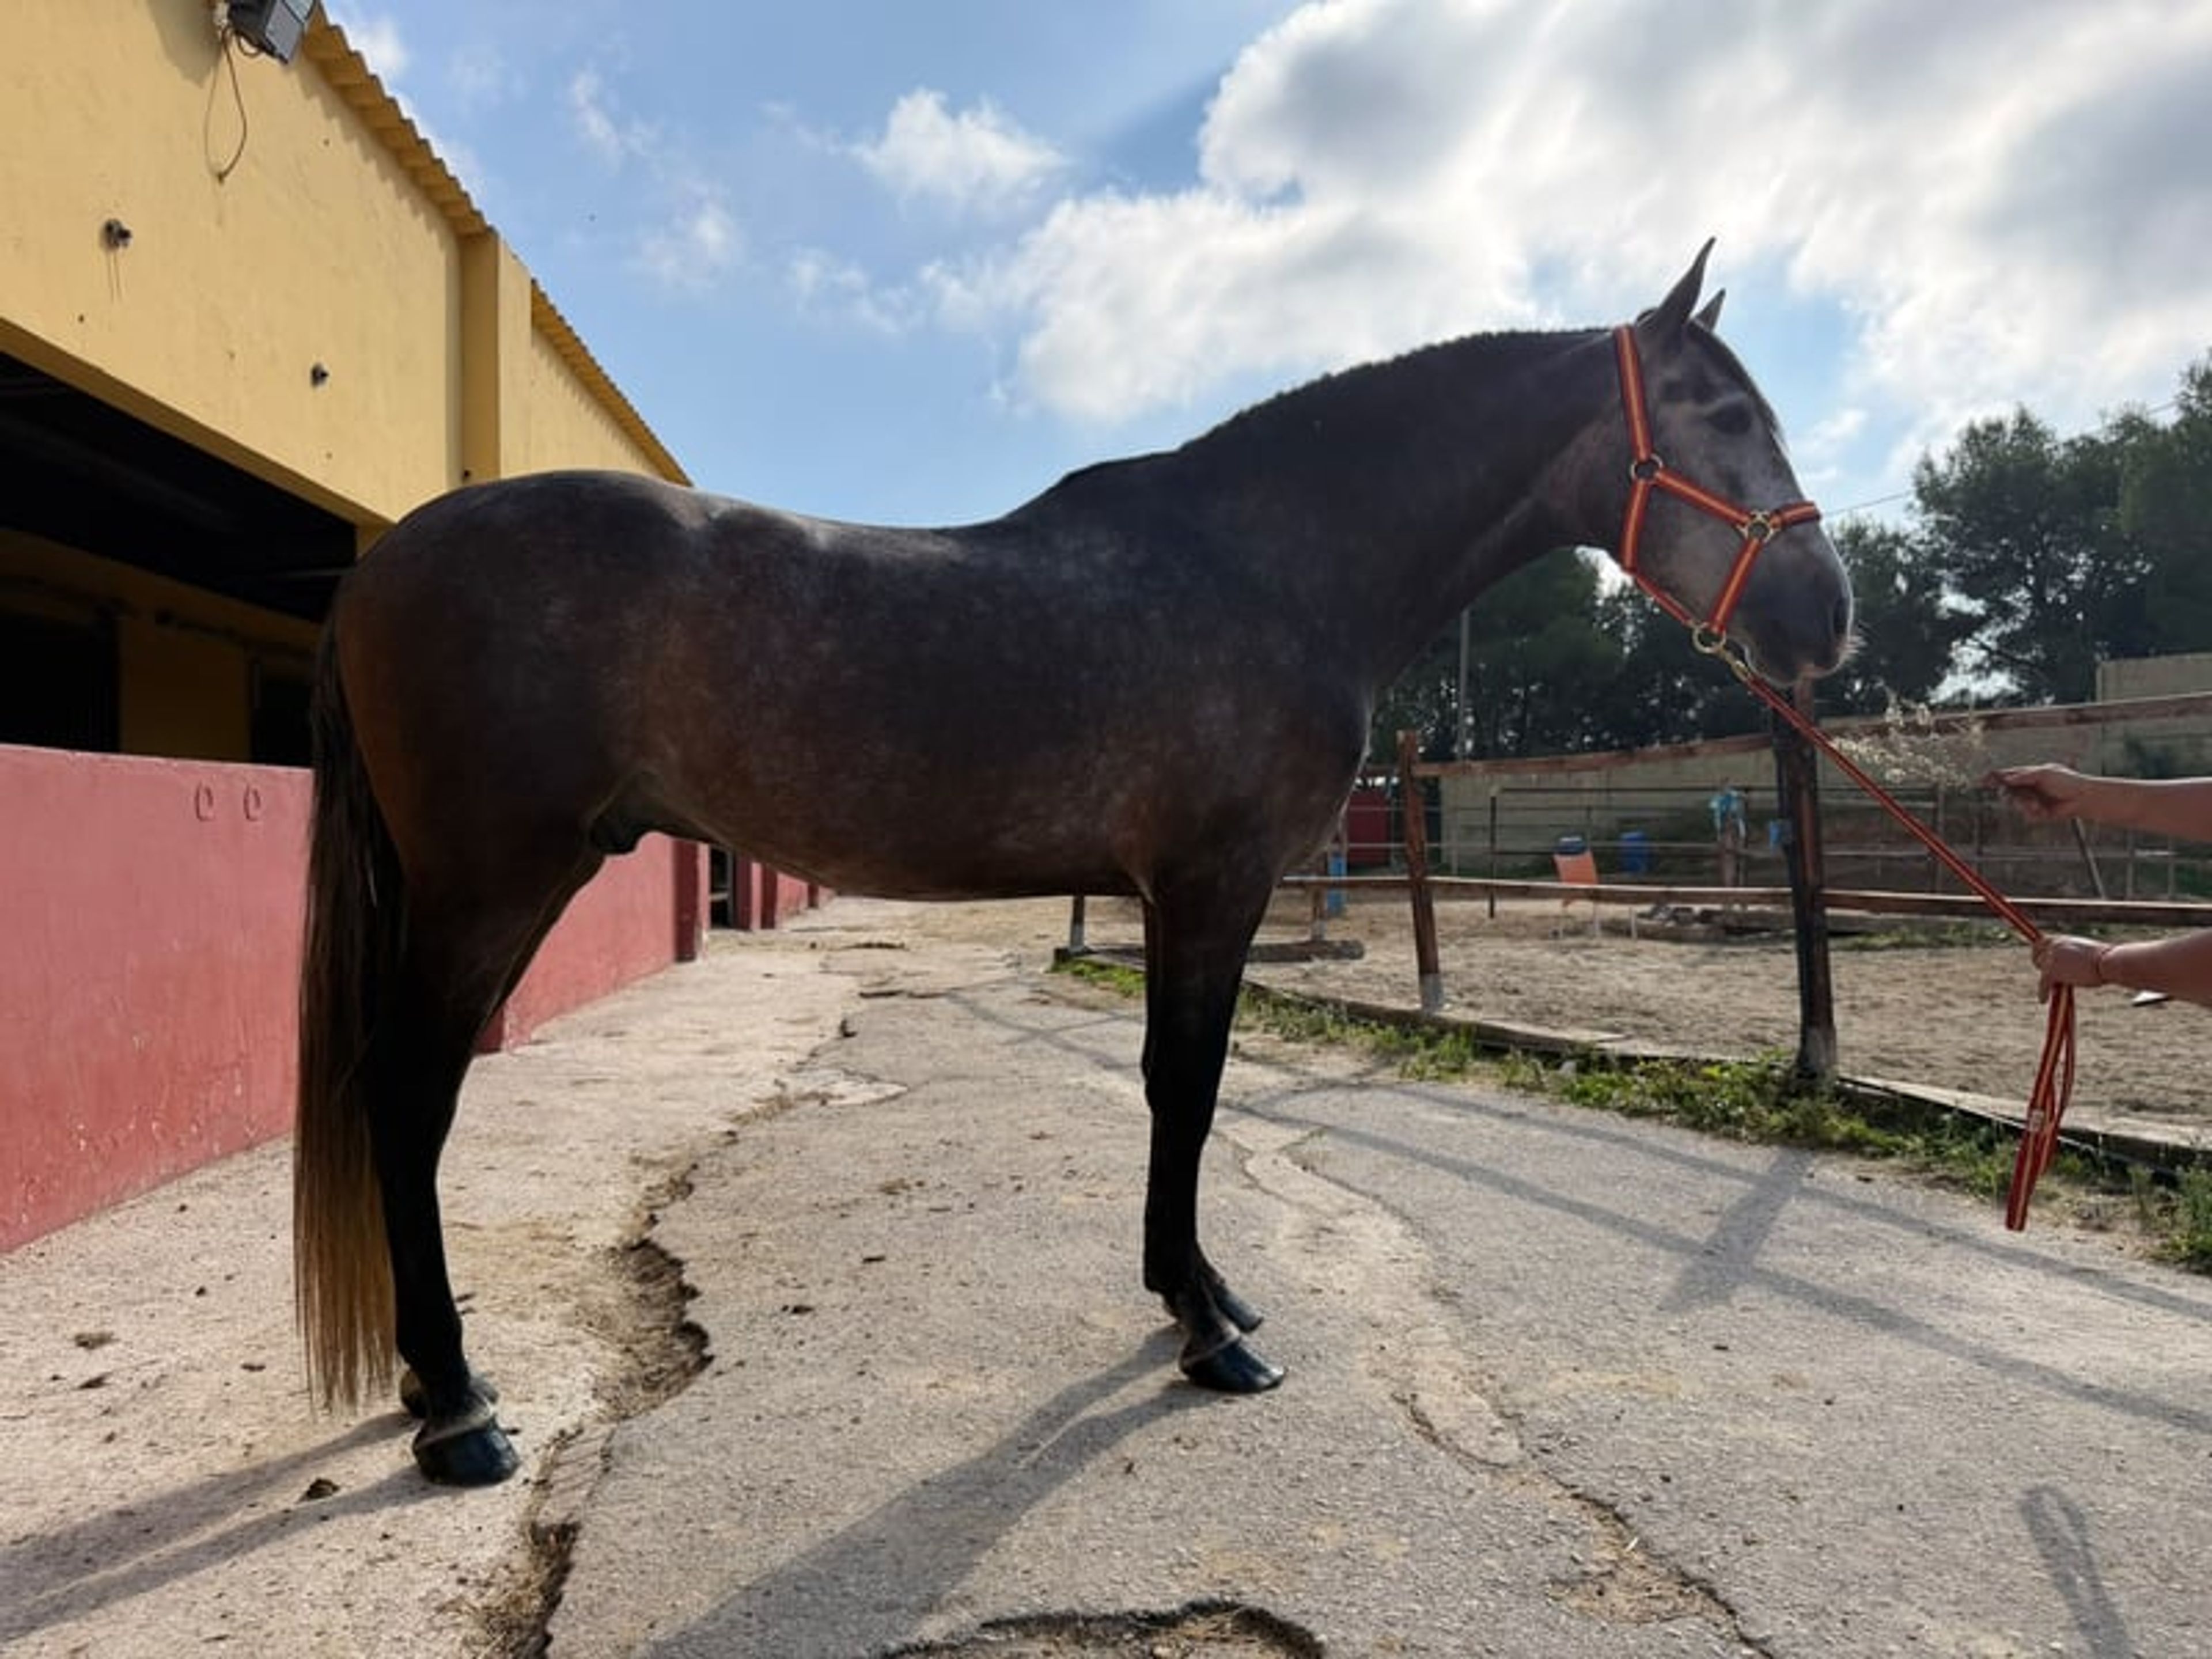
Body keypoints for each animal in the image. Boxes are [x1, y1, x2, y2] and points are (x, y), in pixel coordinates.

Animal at [295, 244, 1852, 1485]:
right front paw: (1209, 1329)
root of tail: (381, 565)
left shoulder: (1171, 895)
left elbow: (1175, 1087)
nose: (1824, 617)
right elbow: (1188, 1088)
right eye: (1721, 414)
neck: (1270, 568)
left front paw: (1202, 1295)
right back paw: (458, 1410)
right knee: (410, 1101)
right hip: (492, 884)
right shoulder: (1214, 886)